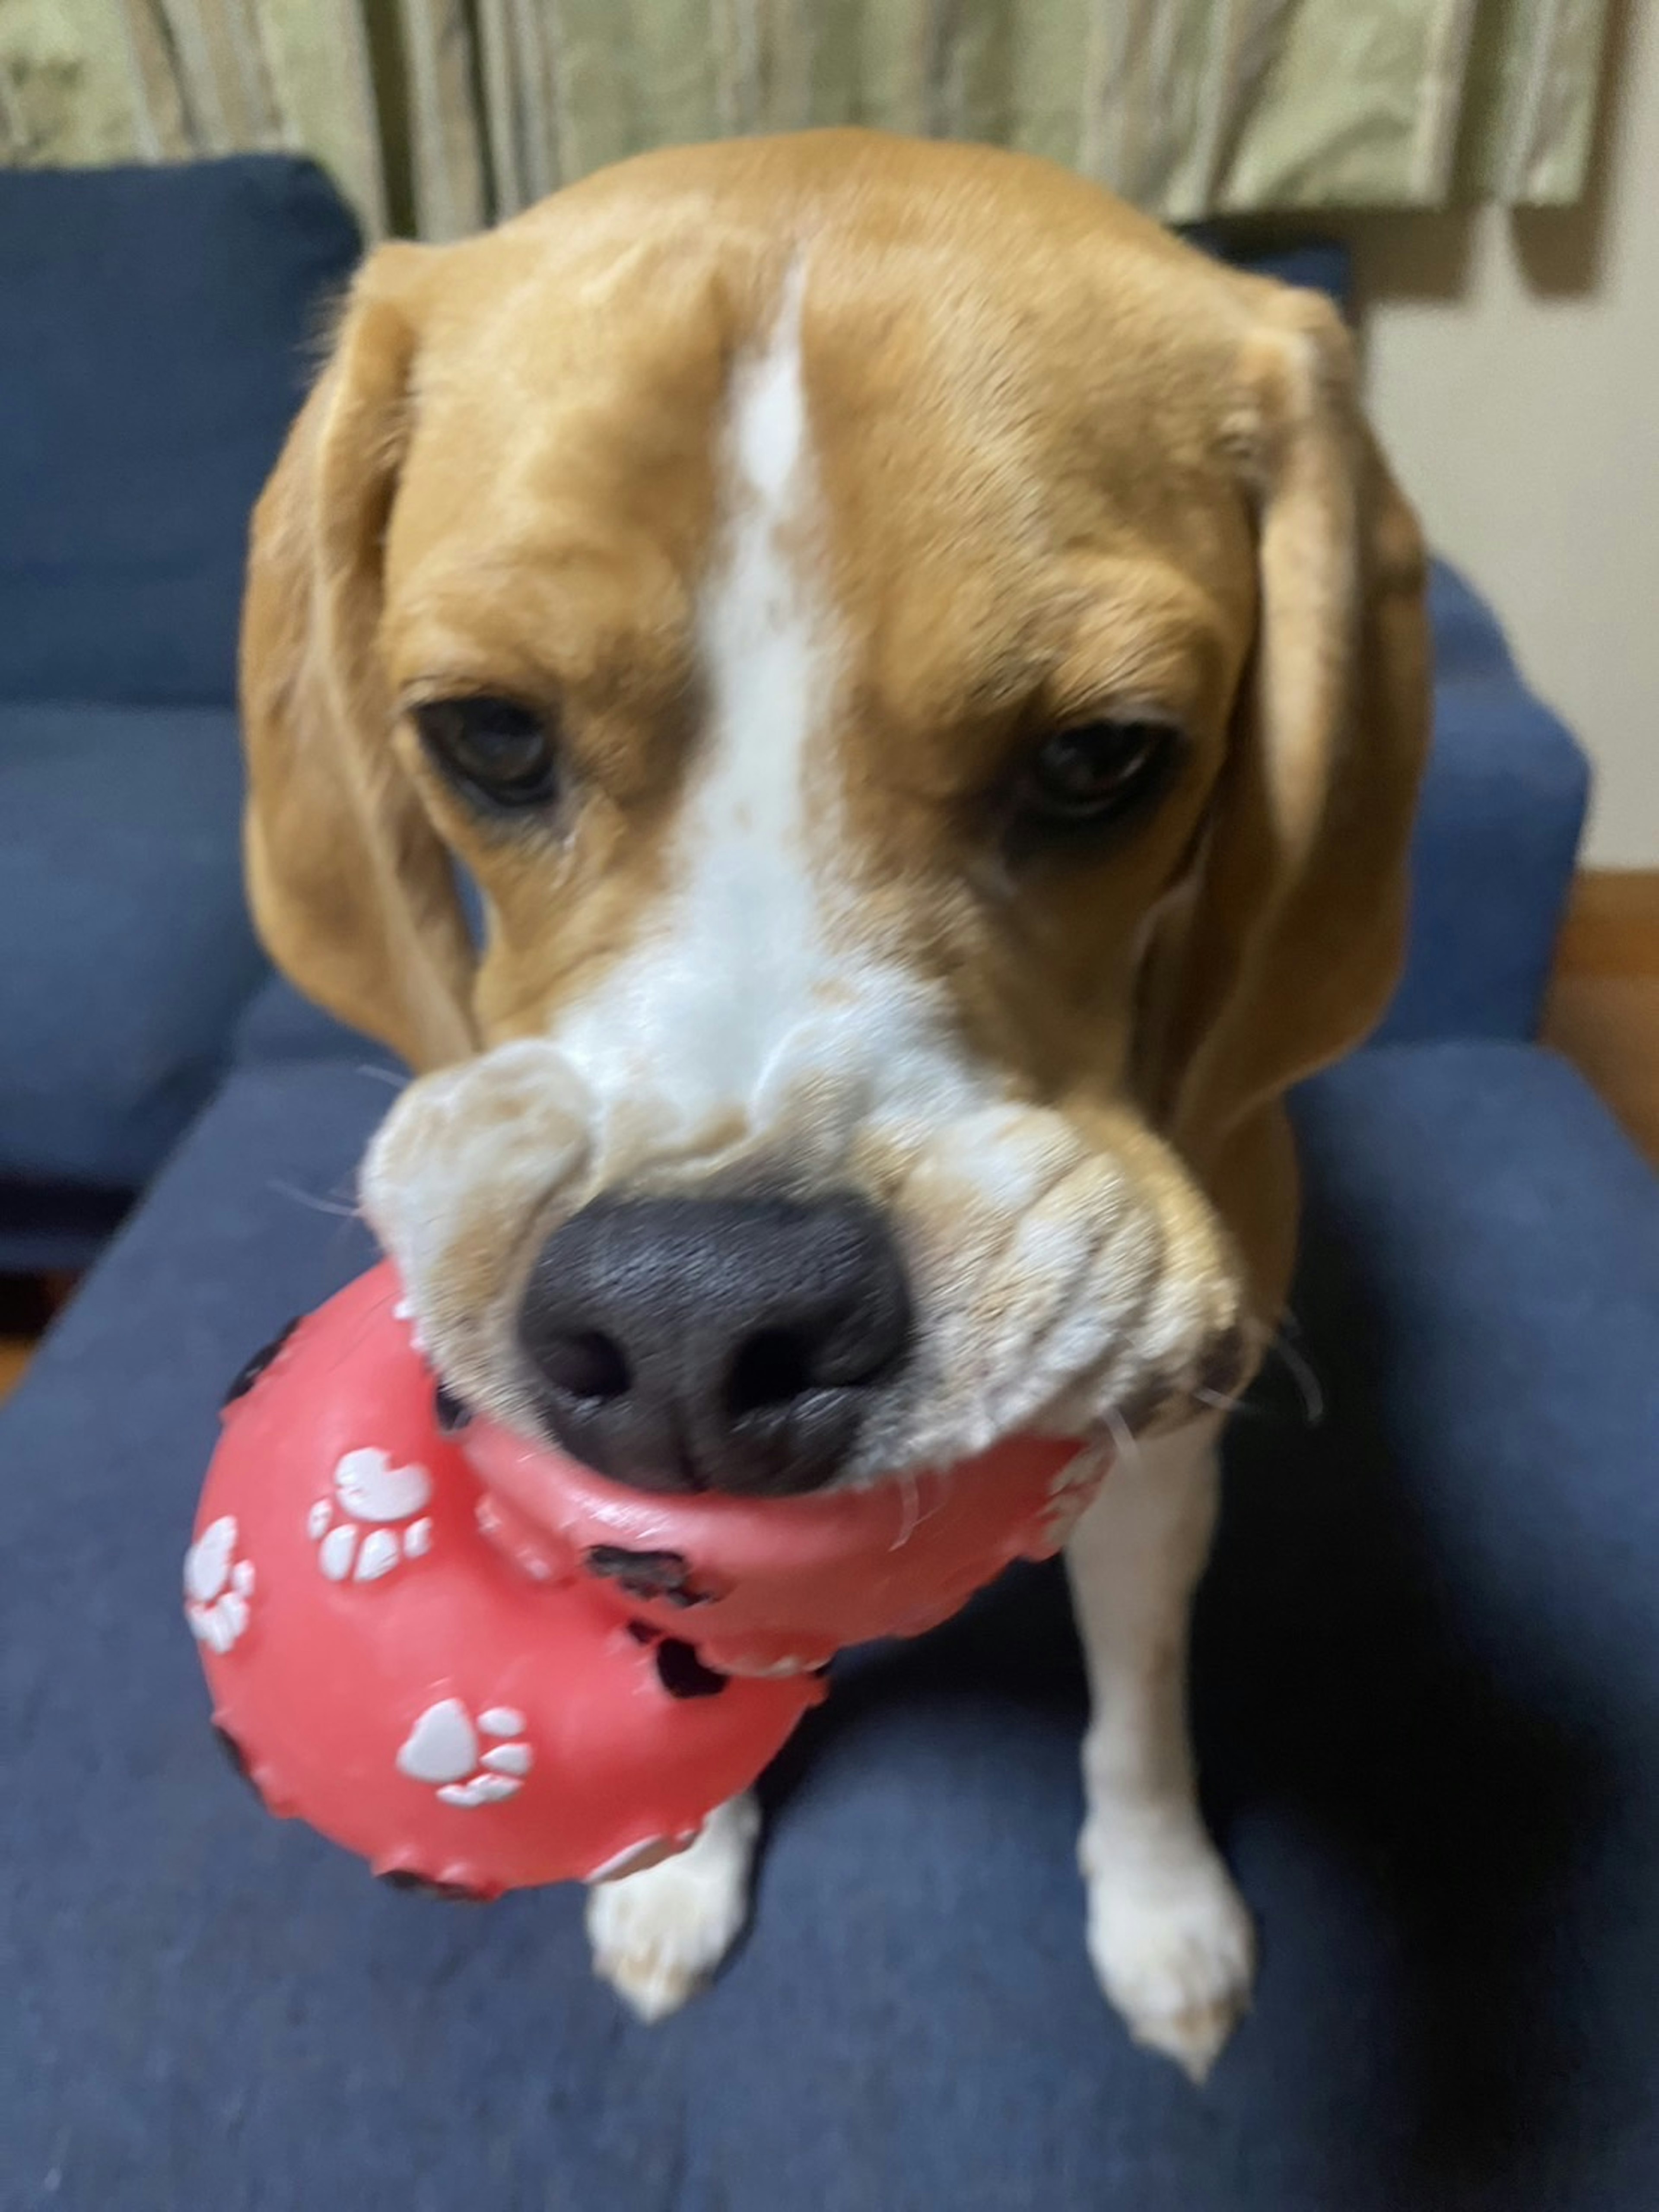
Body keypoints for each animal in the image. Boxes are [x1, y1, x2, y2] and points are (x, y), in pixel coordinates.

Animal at [240, 129, 1433, 2079]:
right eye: (487, 734)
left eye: (1103, 758)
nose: (691, 1327)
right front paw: (677, 1867)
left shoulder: (1166, 1455)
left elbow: (1140, 1702)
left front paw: (1162, 1907)